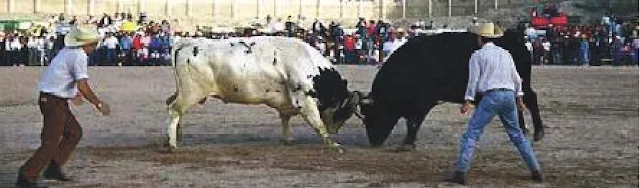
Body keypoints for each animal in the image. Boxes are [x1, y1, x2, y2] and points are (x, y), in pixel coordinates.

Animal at [165, 36, 360, 153]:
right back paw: (172, 144)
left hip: (183, 92)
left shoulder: (287, 103)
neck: (309, 63)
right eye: (345, 112)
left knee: (172, 106)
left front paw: (287, 139)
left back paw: (178, 136)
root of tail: (188, 43)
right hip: (192, 92)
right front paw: (332, 144)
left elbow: (285, 120)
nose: (336, 130)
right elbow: (318, 123)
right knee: (174, 109)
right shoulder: (303, 99)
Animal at [356, 30, 544, 150]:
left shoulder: (422, 102)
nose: (373, 141)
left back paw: (538, 133)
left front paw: (408, 143)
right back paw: (522, 130)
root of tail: (516, 42)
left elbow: (413, 123)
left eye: (373, 114)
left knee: (531, 99)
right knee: (518, 104)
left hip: (522, 85)